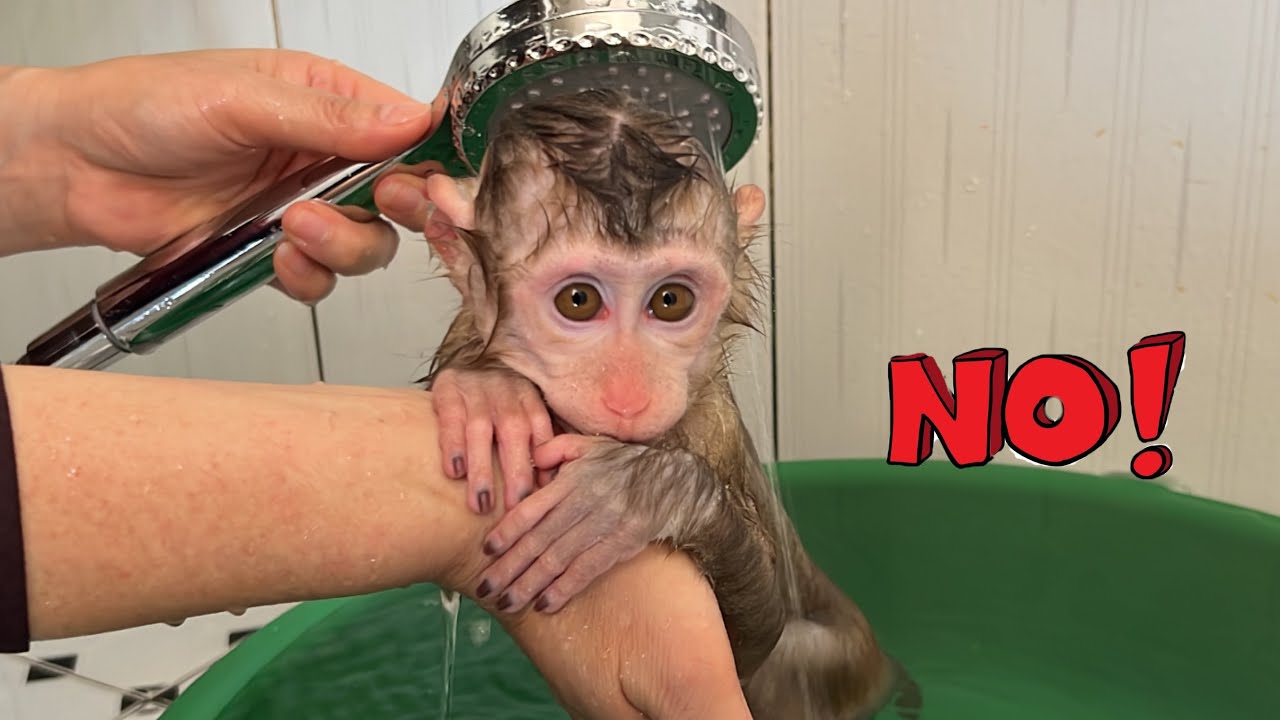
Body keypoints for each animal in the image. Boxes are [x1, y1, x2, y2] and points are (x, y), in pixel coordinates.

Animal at [414, 88, 921, 719]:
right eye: (578, 300)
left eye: (670, 300)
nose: (630, 396)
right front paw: (489, 391)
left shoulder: (710, 427)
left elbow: (757, 645)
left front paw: (640, 493)